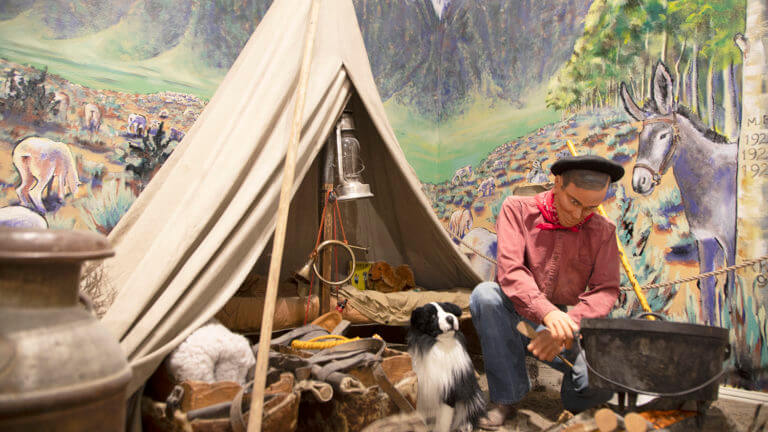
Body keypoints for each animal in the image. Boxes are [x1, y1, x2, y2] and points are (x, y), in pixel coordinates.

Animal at [408, 302, 480, 430]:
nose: (450, 318)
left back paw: (466, 426)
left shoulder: (449, 390)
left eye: (447, 310)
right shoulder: (421, 391)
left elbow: (443, 423)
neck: (443, 347)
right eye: (432, 316)